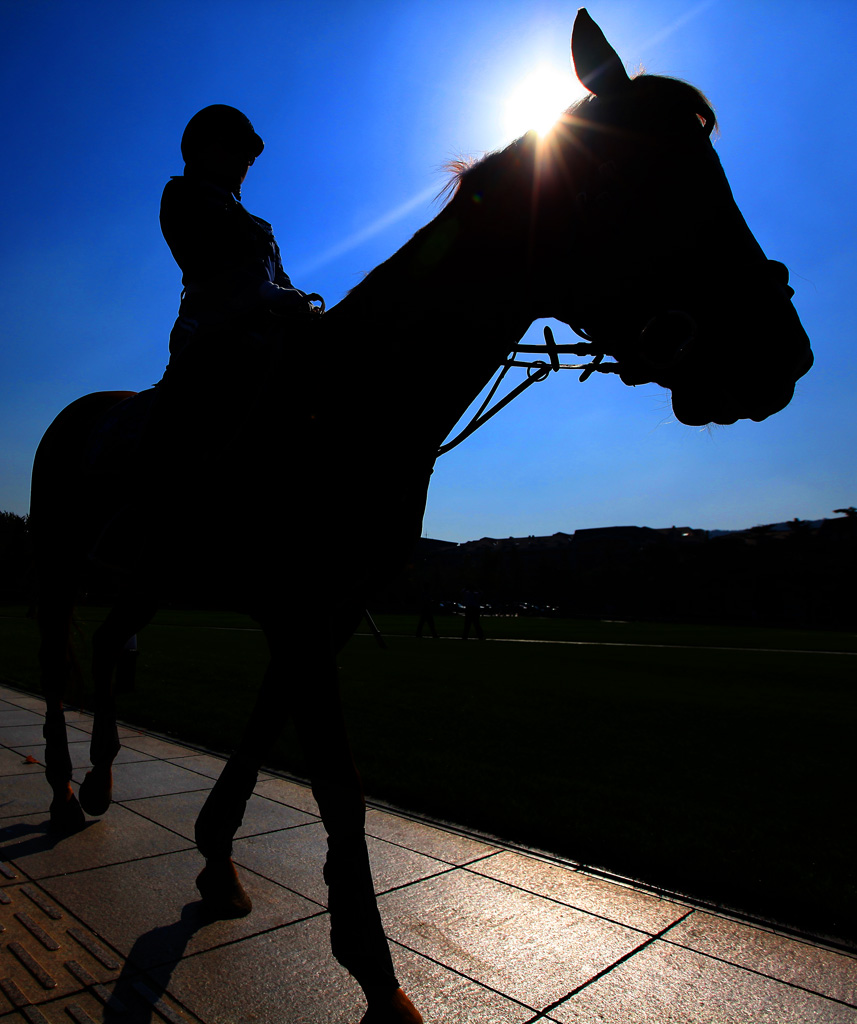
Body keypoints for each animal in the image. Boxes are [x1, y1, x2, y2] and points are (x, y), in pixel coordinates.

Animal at [30, 12, 810, 1019]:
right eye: (639, 174)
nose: (779, 352)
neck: (358, 397)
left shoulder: (322, 609)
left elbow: (268, 731)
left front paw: (217, 857)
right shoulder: (298, 602)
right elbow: (339, 783)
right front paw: (372, 970)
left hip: (155, 567)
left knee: (106, 644)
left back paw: (97, 778)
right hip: (60, 560)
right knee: (56, 655)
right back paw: (59, 786)